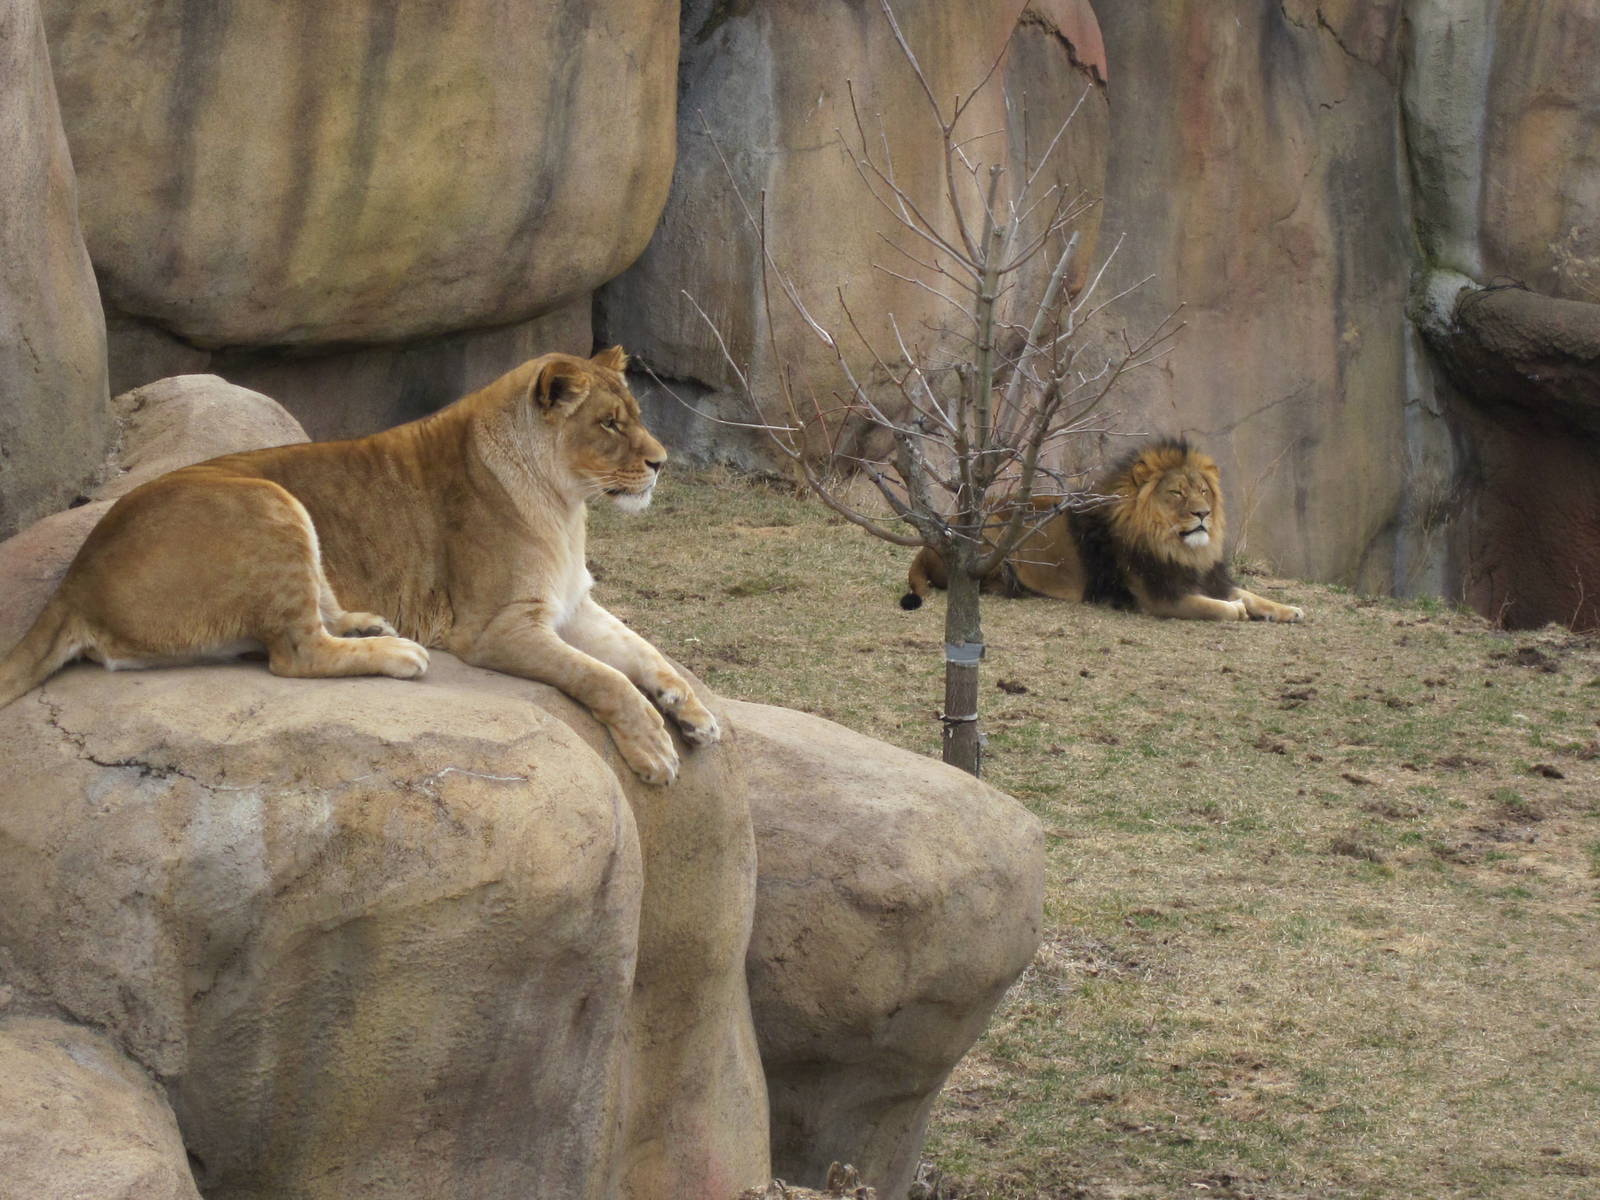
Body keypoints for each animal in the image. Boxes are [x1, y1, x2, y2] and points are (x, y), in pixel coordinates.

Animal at [0, 346, 717, 784]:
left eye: (636, 417)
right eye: (610, 424)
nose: (661, 463)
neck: (566, 504)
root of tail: (74, 581)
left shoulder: (573, 604)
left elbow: (644, 651)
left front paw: (692, 711)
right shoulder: (497, 628)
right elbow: (602, 677)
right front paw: (653, 745)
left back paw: (369, 625)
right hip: (268, 501)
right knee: (293, 653)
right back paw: (398, 654)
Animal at [899, 438, 1304, 623]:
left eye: (1203, 491)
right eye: (1176, 493)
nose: (1203, 514)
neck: (1178, 547)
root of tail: (933, 540)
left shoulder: (1203, 576)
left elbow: (1252, 594)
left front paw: (1289, 610)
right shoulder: (1158, 598)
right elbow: (1216, 607)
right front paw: (1236, 610)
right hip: (992, 540)